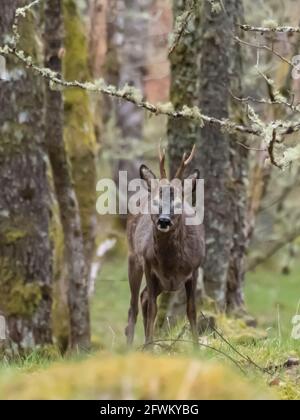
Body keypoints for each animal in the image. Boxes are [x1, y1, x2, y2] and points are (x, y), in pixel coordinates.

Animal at [125, 146, 205, 346]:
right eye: (156, 202)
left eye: (178, 203)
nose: (164, 221)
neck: (171, 264)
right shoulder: (149, 266)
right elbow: (153, 309)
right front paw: (149, 346)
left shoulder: (195, 268)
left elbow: (191, 310)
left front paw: (196, 347)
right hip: (133, 258)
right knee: (134, 306)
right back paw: (132, 347)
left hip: (162, 282)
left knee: (143, 297)